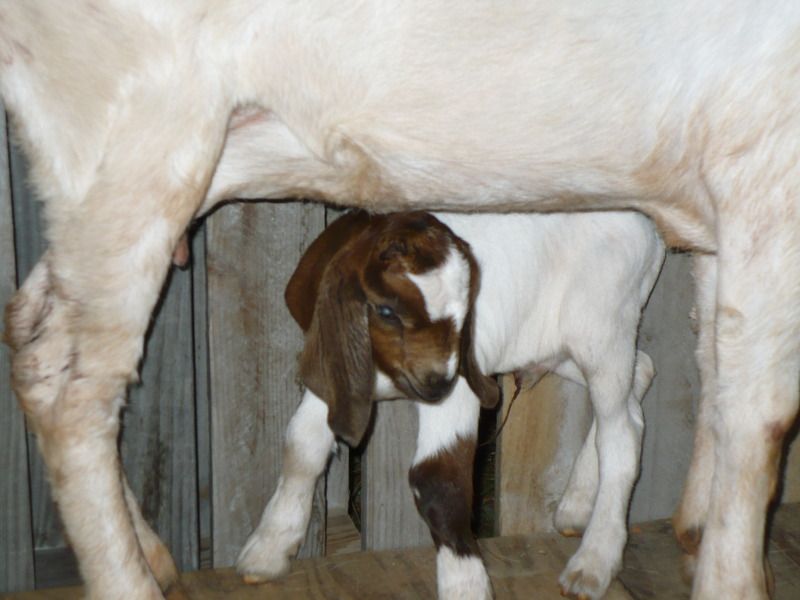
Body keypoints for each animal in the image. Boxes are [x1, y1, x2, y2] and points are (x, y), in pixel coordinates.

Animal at [235, 209, 665, 600]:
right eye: (386, 310)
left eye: (463, 312)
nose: (437, 381)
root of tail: (650, 227)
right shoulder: (335, 374)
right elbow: (301, 447)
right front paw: (267, 549)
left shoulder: (460, 391)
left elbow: (436, 480)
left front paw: (465, 586)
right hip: (553, 344)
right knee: (640, 378)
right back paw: (576, 505)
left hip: (603, 330)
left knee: (620, 433)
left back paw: (593, 560)